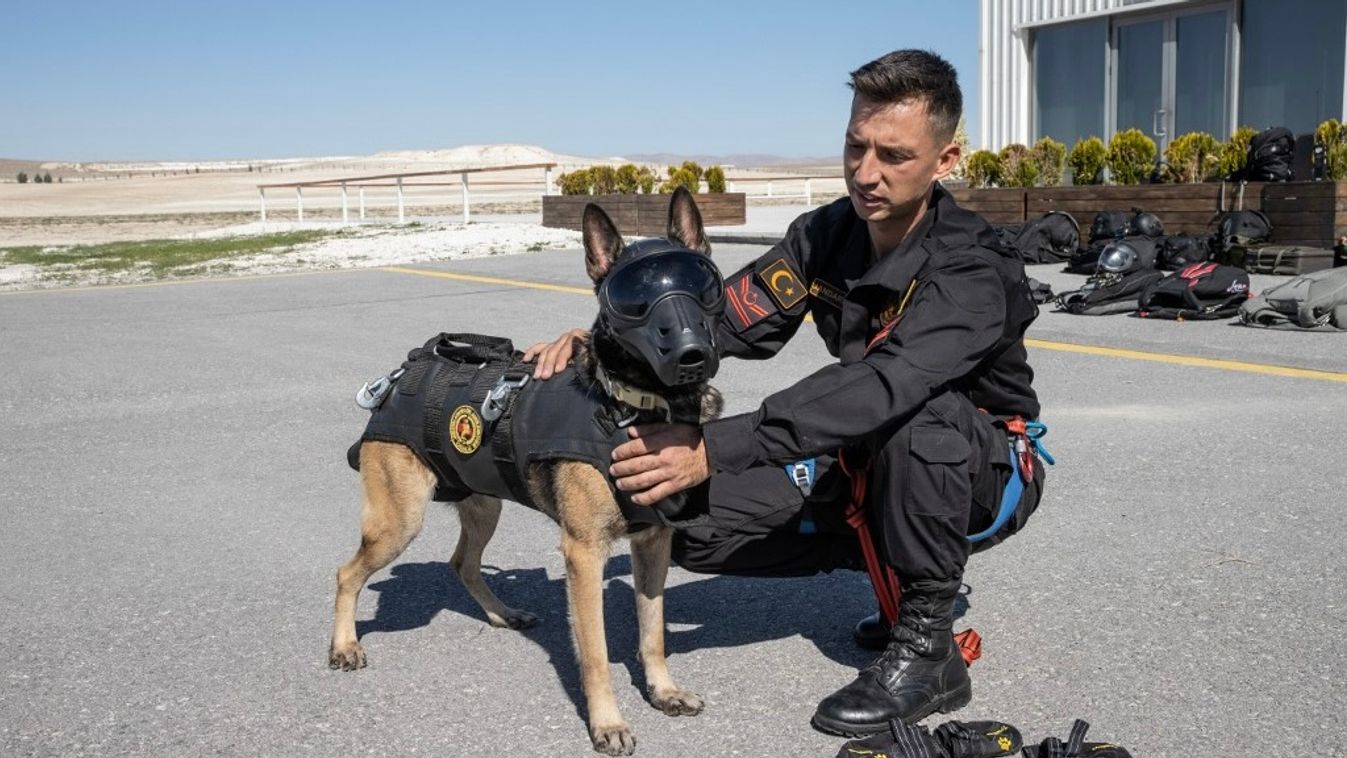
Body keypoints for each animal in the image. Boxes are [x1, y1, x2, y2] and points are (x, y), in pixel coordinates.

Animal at [327, 188, 721, 753]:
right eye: (635, 300)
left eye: (700, 282)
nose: (693, 354)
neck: (632, 406)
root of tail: (402, 372)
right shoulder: (584, 555)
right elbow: (597, 653)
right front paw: (607, 723)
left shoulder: (652, 544)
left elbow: (653, 632)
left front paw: (663, 691)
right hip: (399, 523)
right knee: (347, 573)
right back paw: (344, 645)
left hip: (482, 505)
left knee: (463, 563)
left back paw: (501, 612)